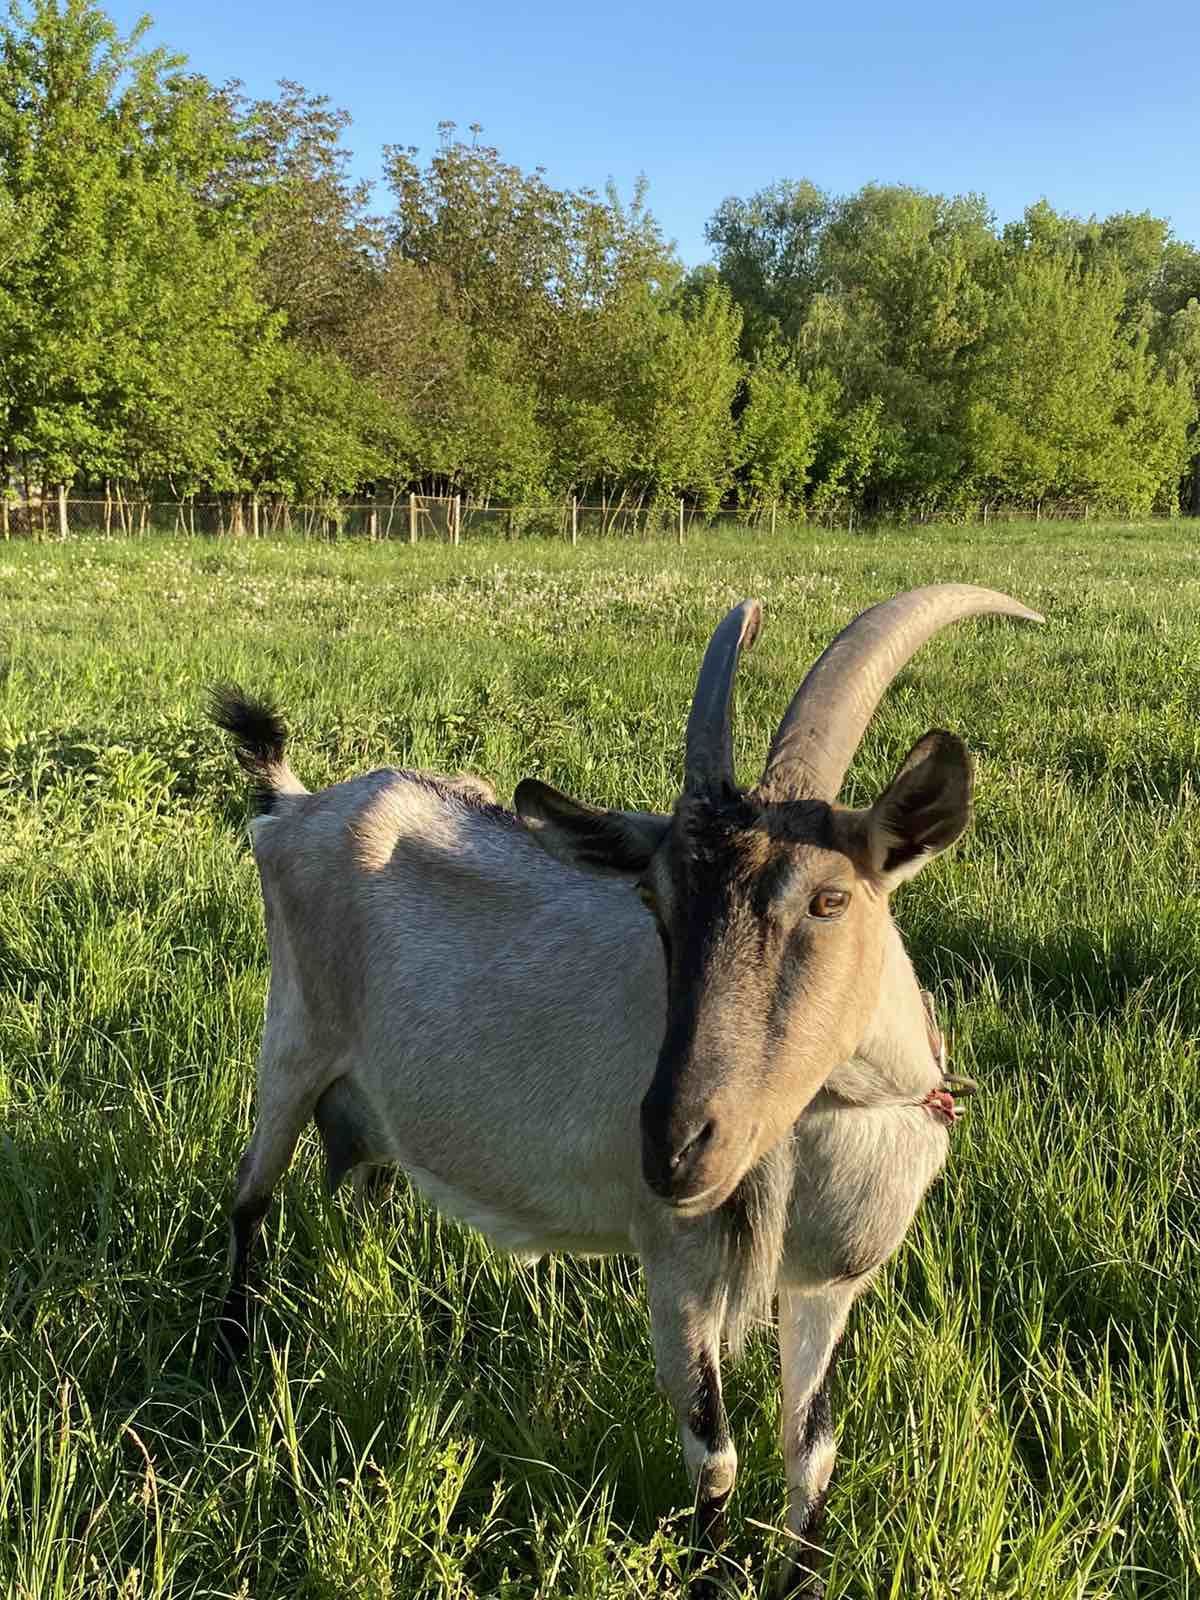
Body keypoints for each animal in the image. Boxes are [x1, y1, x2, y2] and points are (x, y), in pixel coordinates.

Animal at [211, 585, 1036, 1587]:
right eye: (656, 903)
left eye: (829, 899)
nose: (676, 1148)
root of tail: (293, 809)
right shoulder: (675, 1260)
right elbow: (714, 1456)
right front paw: (711, 1574)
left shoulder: (825, 1286)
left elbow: (813, 1453)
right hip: (291, 1043)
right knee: (249, 1196)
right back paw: (231, 1354)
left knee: (368, 1187)